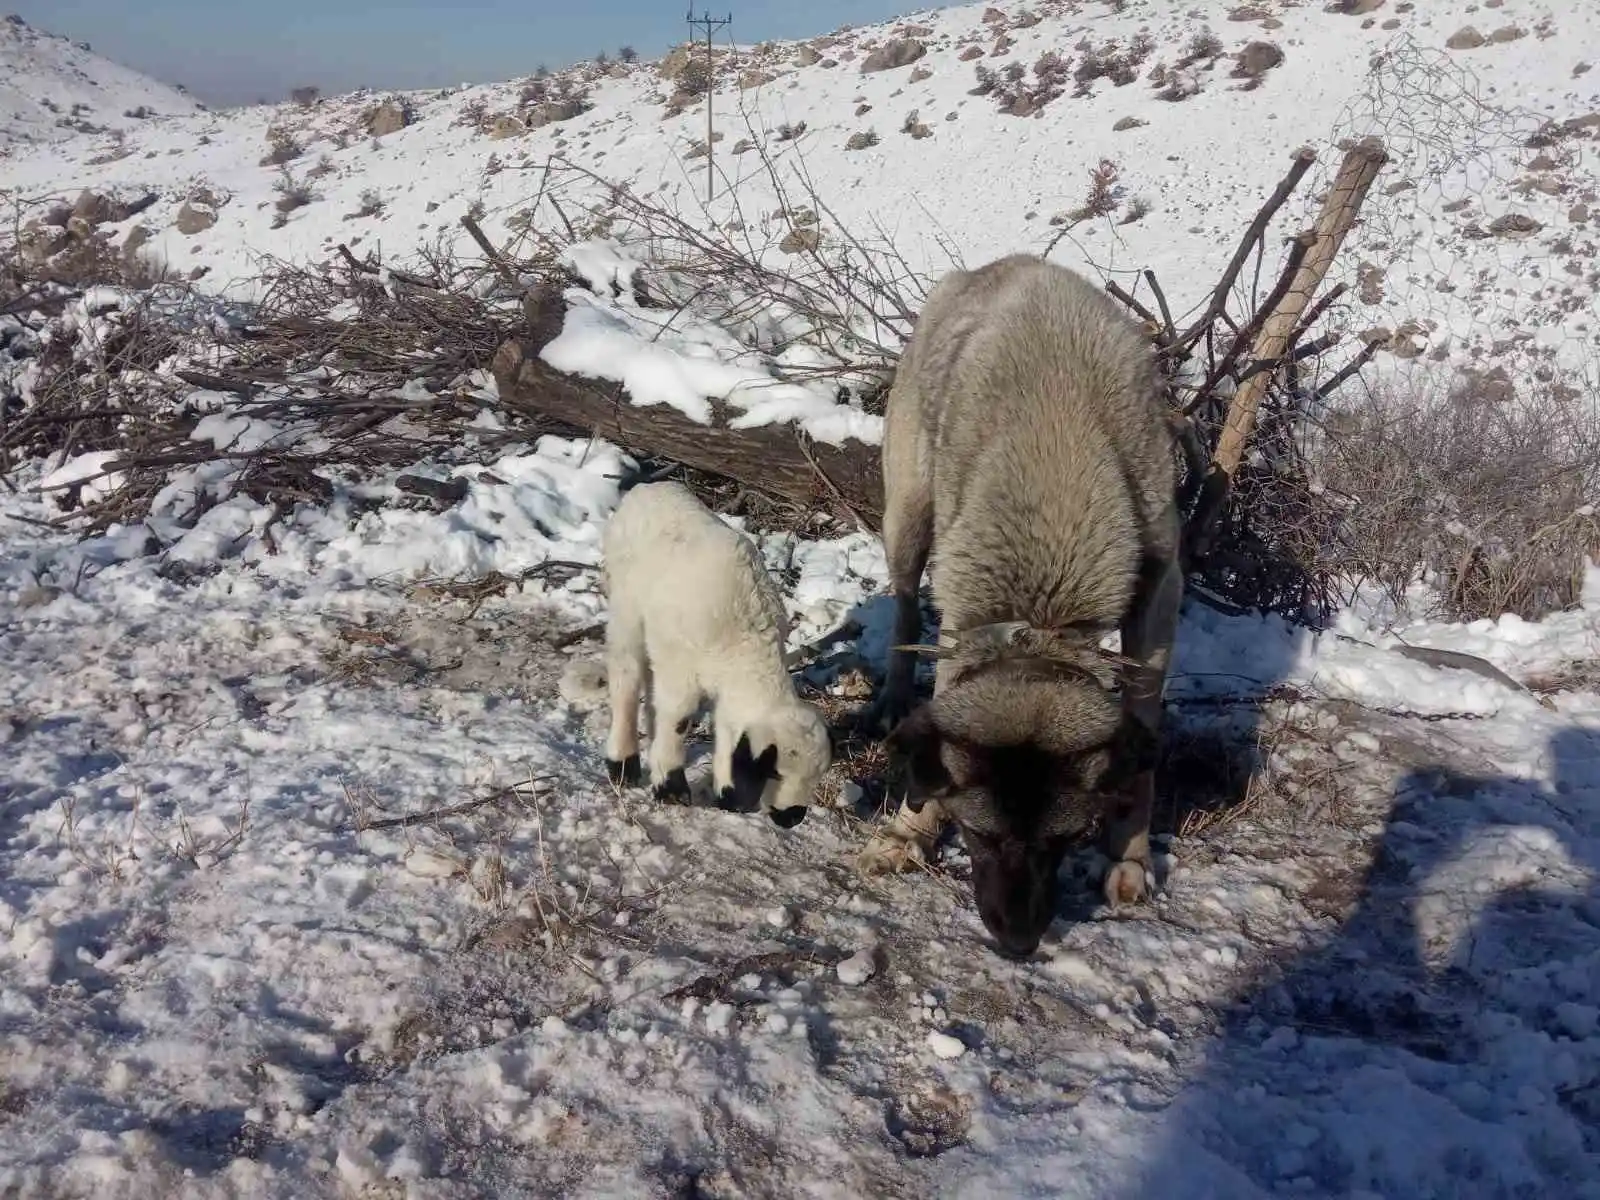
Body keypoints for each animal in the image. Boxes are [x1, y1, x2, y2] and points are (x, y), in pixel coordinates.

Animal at [595, 480, 832, 825]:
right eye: (774, 773)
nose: (792, 817)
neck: (745, 642)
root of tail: (646, 487)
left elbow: (722, 725)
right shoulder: (681, 667)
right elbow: (679, 718)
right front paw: (670, 787)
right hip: (626, 606)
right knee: (626, 674)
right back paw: (623, 763)